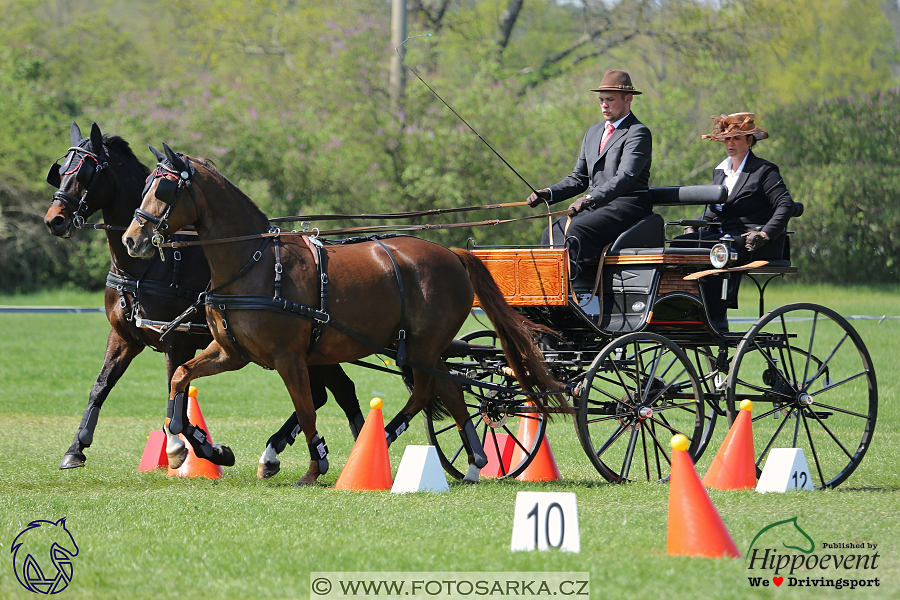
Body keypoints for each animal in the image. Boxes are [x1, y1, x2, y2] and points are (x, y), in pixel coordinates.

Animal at [41, 123, 366, 478]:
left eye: (86, 172)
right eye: (61, 172)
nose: (54, 219)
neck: (146, 267)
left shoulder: (178, 342)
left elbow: (177, 396)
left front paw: (195, 449)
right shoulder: (125, 336)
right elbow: (101, 386)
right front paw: (76, 448)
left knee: (331, 393)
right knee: (330, 392)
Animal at [119, 148, 564, 486]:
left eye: (164, 188)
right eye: (144, 186)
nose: (131, 239)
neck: (254, 262)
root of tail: (453, 254)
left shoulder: (289, 358)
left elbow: (306, 408)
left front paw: (314, 467)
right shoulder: (233, 353)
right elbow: (181, 377)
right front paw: (189, 447)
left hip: (422, 346)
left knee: (430, 392)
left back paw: (390, 441)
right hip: (424, 349)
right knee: (449, 391)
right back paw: (471, 464)